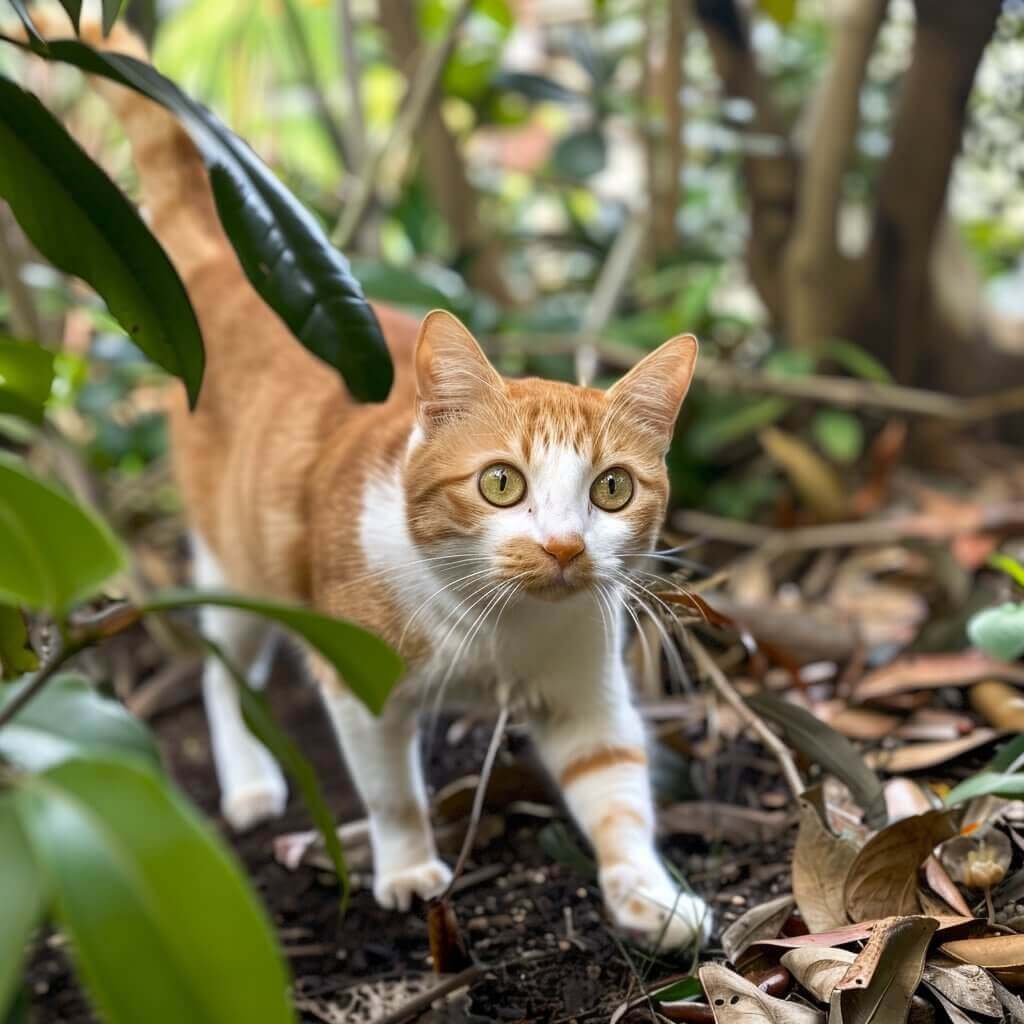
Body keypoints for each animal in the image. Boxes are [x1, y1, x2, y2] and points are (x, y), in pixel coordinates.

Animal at [68, 16, 712, 946]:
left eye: (613, 491)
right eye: (501, 485)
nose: (562, 548)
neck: (495, 627)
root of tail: (228, 264)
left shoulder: (587, 694)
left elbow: (618, 791)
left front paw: (651, 897)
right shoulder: (359, 687)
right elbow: (391, 792)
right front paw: (407, 869)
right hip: (238, 570)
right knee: (223, 675)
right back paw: (251, 781)